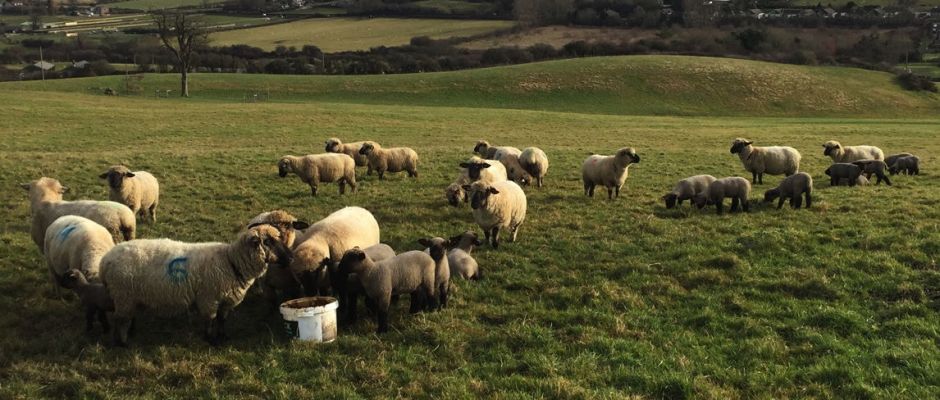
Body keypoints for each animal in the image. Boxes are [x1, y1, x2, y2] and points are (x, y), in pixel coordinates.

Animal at [99, 224, 292, 346]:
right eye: (268, 241)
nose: (291, 258)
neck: (231, 262)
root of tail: (105, 261)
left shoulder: (226, 300)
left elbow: (222, 320)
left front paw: (223, 336)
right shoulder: (209, 298)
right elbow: (210, 320)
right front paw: (211, 340)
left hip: (130, 297)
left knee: (127, 317)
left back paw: (131, 333)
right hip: (123, 295)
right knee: (119, 320)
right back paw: (121, 343)